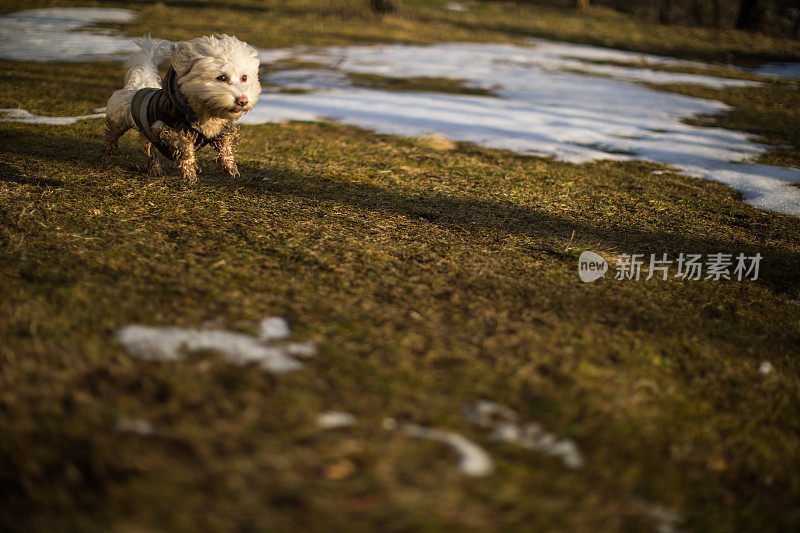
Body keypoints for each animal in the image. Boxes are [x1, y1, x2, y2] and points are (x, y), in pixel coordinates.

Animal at [103, 34, 260, 183]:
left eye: (244, 77)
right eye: (221, 77)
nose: (243, 100)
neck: (207, 112)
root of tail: (138, 86)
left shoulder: (222, 128)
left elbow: (226, 142)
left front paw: (229, 166)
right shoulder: (164, 127)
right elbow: (184, 147)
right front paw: (190, 173)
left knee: (150, 150)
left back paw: (155, 168)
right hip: (119, 117)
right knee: (113, 133)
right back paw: (108, 149)